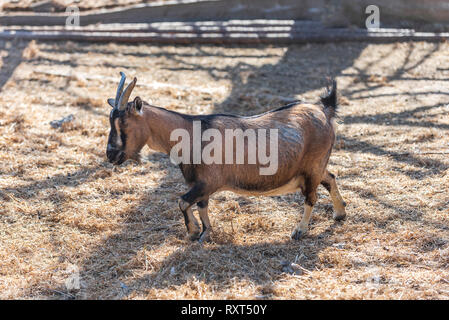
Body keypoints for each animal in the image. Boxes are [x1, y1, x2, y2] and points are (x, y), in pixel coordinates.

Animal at [106, 72, 346, 242]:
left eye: (123, 124)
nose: (110, 155)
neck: (192, 133)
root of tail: (325, 111)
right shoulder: (199, 184)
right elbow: (201, 206)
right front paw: (205, 233)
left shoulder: (208, 182)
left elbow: (183, 201)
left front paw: (193, 232)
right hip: (315, 167)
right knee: (330, 177)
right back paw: (340, 213)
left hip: (312, 167)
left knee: (311, 197)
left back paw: (299, 230)